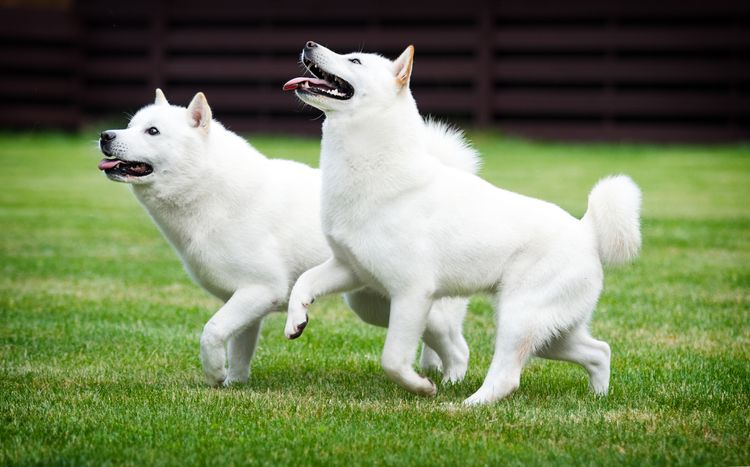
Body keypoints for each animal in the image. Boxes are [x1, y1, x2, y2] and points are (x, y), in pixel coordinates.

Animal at [98, 90, 476, 388]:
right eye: (132, 125)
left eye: (153, 131)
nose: (105, 135)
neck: (209, 189)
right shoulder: (244, 300)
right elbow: (239, 350)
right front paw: (234, 384)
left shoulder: (261, 290)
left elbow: (212, 332)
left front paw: (214, 374)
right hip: (377, 305)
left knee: (459, 347)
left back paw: (451, 383)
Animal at [284, 42, 644, 404]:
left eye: (355, 61)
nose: (309, 45)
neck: (374, 168)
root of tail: (587, 231)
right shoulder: (350, 268)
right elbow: (304, 281)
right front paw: (296, 320)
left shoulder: (412, 293)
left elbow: (393, 360)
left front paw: (421, 387)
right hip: (551, 333)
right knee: (599, 351)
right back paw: (598, 397)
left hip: (518, 317)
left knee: (507, 376)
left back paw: (466, 405)